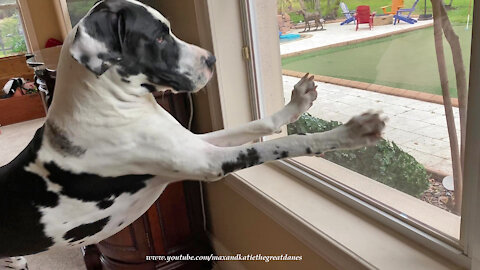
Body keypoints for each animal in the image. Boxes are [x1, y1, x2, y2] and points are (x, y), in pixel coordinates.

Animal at [0, 0, 382, 268]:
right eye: (158, 36)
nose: (212, 60)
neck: (107, 104)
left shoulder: (197, 143)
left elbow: (258, 126)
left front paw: (296, 103)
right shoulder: (208, 163)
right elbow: (289, 143)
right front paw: (349, 134)